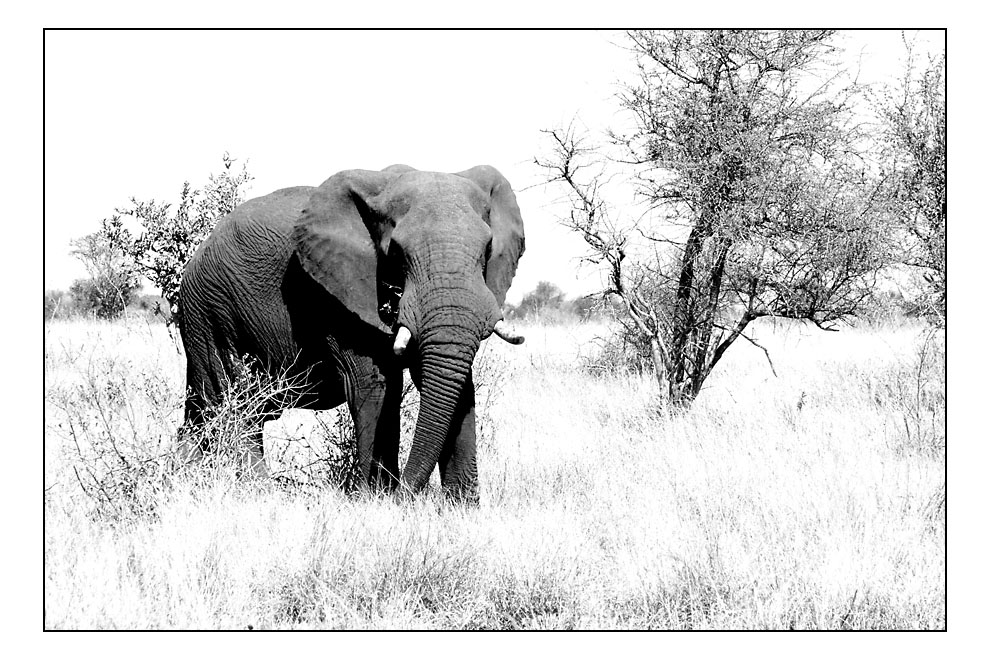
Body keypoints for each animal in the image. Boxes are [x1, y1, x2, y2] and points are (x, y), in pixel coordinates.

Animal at [181, 164, 532, 500]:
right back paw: (258, 490)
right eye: (396, 252)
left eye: (488, 248)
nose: (406, 496)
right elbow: (375, 385)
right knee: (232, 402)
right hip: (210, 310)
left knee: (207, 409)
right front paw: (376, 498)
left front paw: (461, 507)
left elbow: (453, 385)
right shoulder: (336, 295)